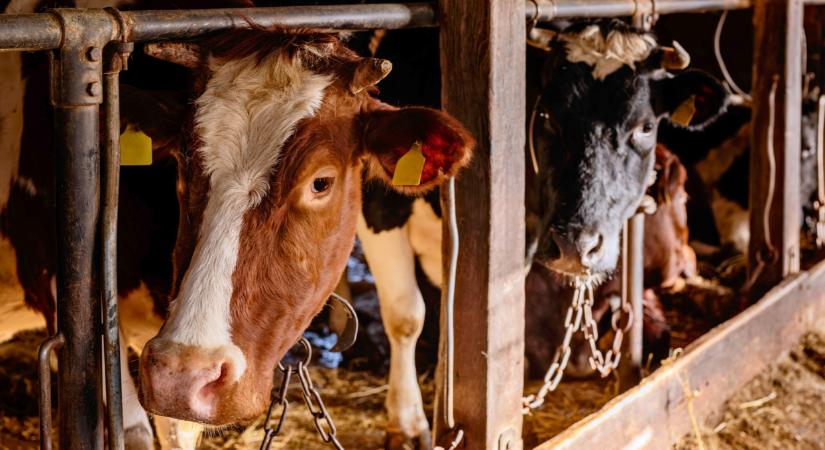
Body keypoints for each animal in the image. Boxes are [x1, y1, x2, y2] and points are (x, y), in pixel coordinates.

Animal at [354, 19, 728, 448]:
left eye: (646, 127)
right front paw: (407, 423)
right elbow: (406, 315)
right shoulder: (378, 204)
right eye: (547, 115)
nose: (576, 246)